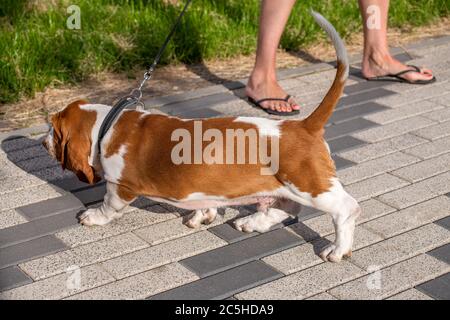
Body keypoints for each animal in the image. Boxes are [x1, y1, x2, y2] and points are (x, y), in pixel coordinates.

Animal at [42, 12, 358, 262]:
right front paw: (203, 215)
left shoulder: (121, 187)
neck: (109, 124)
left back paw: (337, 250)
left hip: (311, 184)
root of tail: (303, 126)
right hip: (285, 186)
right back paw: (253, 221)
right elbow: (206, 203)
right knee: (285, 206)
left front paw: (93, 216)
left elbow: (109, 206)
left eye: (54, 130)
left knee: (345, 208)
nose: (43, 143)